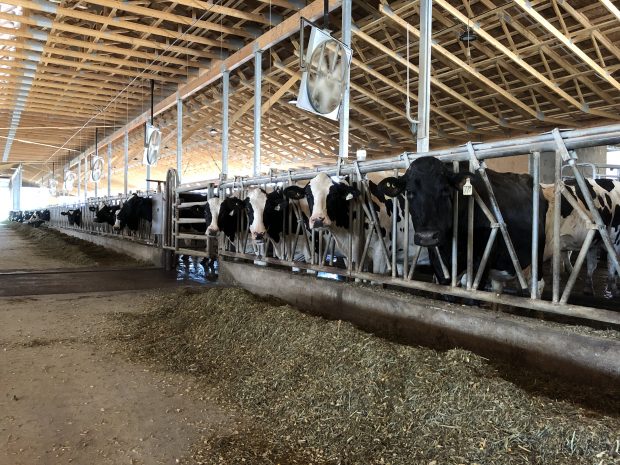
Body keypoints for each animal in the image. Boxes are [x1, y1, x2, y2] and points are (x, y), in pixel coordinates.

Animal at [378, 158, 548, 292]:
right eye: (409, 192)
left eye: (445, 190)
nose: (427, 236)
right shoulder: (438, 262)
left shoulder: (482, 260)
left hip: (538, 252)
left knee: (538, 284)